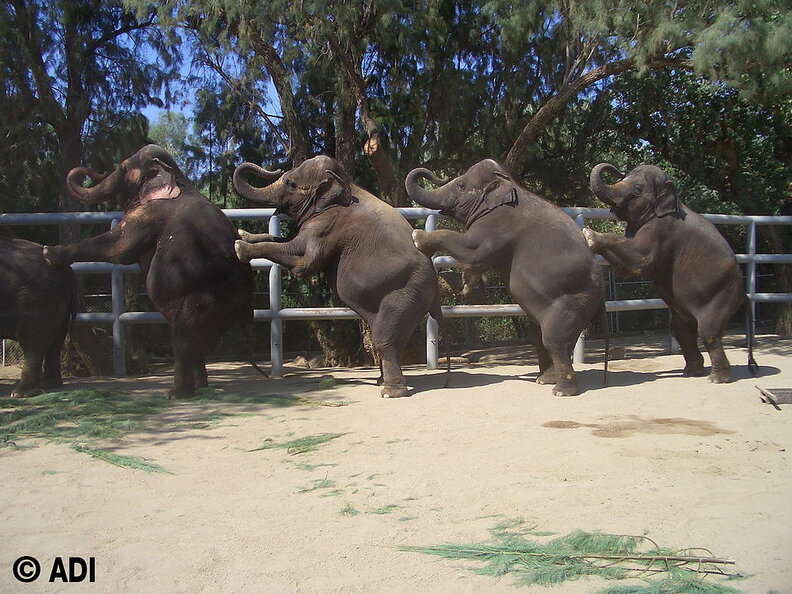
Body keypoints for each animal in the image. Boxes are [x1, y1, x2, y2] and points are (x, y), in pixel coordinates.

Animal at [1, 232, 77, 397]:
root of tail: (66, 269)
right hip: (58, 302)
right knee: (55, 341)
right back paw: (49, 385)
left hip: (38, 299)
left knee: (33, 341)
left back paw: (20, 393)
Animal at [43, 144, 259, 398]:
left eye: (123, 168)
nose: (95, 170)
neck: (178, 178)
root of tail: (248, 305)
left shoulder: (149, 214)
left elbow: (118, 247)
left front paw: (48, 253)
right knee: (196, 340)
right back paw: (198, 387)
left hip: (211, 297)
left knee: (183, 337)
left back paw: (177, 394)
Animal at [232, 155, 447, 399]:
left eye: (291, 183)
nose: (275, 168)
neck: (346, 184)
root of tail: (435, 293)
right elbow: (284, 242)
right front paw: (243, 234)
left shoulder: (329, 224)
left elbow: (303, 260)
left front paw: (240, 247)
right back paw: (379, 381)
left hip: (407, 293)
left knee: (384, 339)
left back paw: (390, 392)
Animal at [407, 158, 607, 396]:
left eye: (462, 185)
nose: (438, 174)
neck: (507, 184)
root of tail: (602, 294)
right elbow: (476, 262)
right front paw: (467, 286)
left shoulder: (499, 223)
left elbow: (472, 249)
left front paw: (417, 237)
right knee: (537, 335)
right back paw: (544, 380)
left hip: (575, 301)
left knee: (554, 339)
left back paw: (561, 391)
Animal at [584, 162, 757, 383]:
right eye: (623, 178)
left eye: (637, 189)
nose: (618, 170)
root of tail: (744, 294)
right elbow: (628, 267)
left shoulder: (663, 228)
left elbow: (639, 259)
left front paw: (589, 234)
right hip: (689, 310)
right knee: (681, 331)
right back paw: (691, 373)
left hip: (723, 295)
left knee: (708, 332)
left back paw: (717, 379)